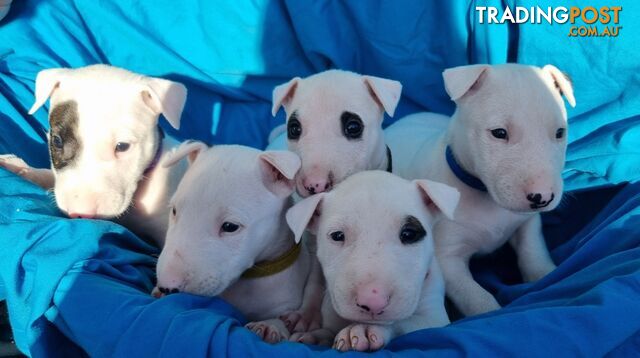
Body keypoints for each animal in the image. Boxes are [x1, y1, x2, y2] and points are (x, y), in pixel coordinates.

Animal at [155, 141, 316, 342]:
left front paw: (269, 326)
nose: (167, 286)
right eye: (174, 211)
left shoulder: (288, 301)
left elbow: (281, 318)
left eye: (230, 226)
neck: (251, 277)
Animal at [286, 171, 460, 352]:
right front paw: (315, 336)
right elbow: (328, 329)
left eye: (409, 234)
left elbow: (404, 323)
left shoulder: (435, 319)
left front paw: (364, 329)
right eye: (337, 235)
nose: (373, 302)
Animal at [384, 64, 576, 316]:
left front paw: (546, 275)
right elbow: (478, 299)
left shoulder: (527, 223)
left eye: (559, 132)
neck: (485, 195)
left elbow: (533, 251)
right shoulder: (447, 259)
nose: (542, 197)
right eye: (499, 133)